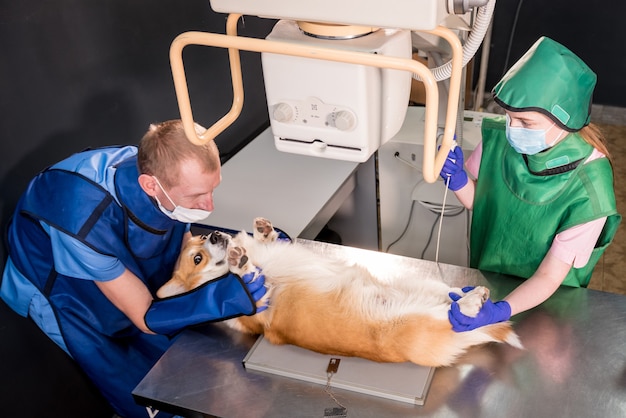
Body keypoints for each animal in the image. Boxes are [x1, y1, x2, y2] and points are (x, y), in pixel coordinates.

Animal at [158, 219, 520, 366]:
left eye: (200, 239)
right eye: (197, 258)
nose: (215, 234)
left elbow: (268, 240)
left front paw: (263, 230)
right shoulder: (259, 310)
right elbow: (248, 280)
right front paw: (241, 264)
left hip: (418, 282)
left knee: (449, 293)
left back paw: (469, 293)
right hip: (422, 323)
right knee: (460, 314)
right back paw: (473, 303)